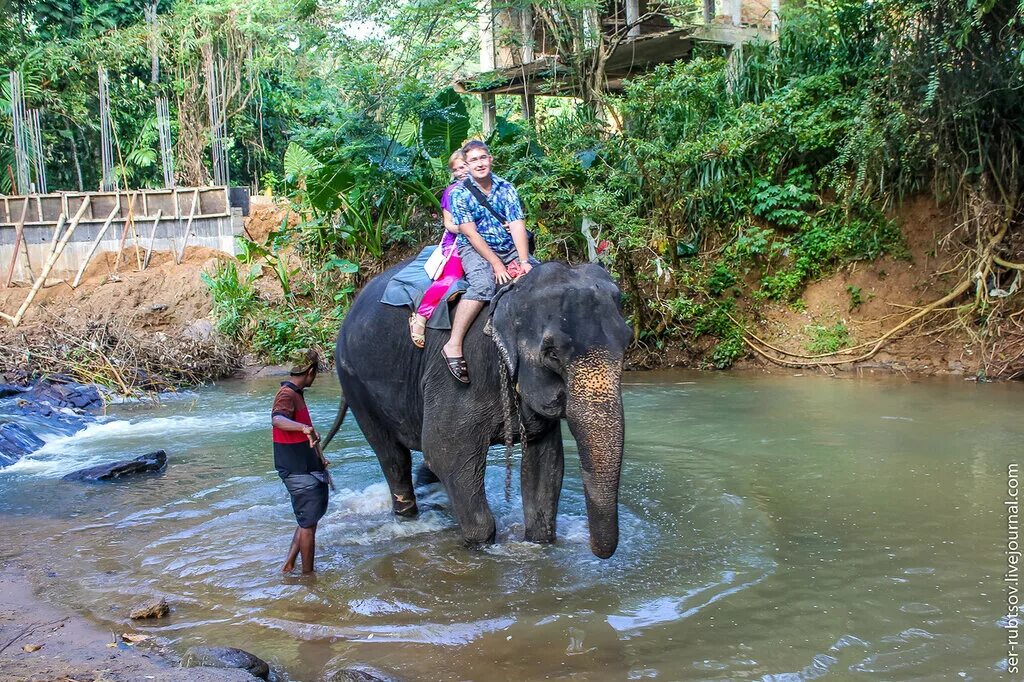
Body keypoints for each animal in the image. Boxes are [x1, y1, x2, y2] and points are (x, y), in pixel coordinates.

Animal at [321, 258, 630, 557]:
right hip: (355, 381)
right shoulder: (460, 373)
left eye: (626, 344)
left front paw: (538, 542)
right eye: (551, 353)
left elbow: (546, 464)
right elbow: (445, 452)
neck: (513, 294)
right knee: (392, 457)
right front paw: (481, 545)